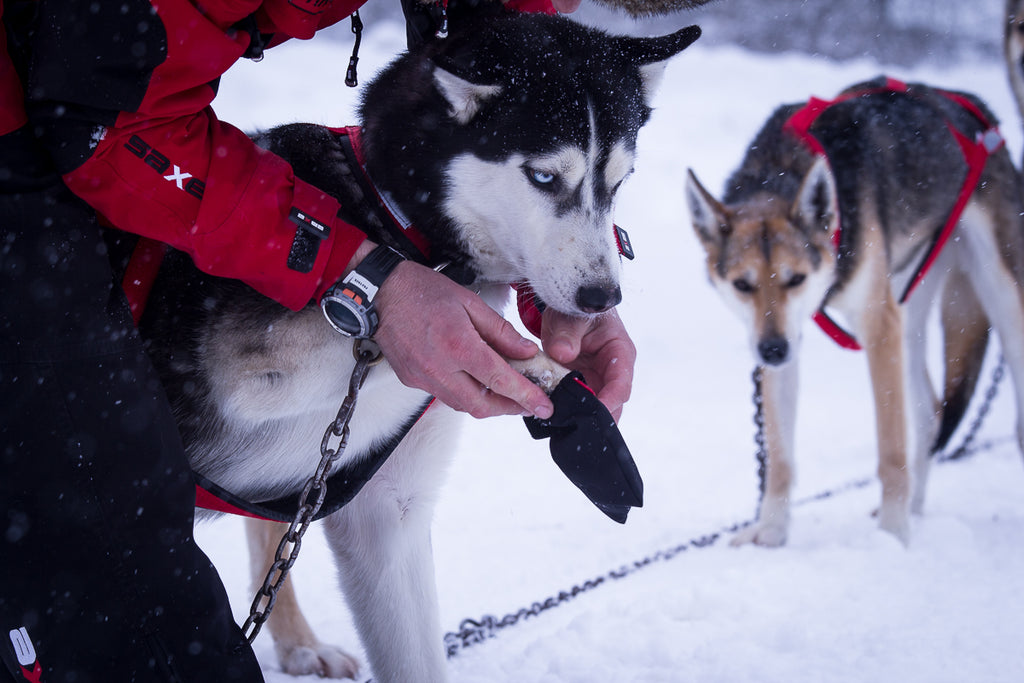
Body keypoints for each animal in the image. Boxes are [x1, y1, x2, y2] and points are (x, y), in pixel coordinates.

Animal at [684, 76, 1024, 544]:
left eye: (795, 278)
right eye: (743, 285)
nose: (771, 350)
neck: (781, 169)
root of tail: (978, 109)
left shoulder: (877, 326)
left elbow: (891, 452)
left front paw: (893, 537)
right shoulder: (791, 340)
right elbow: (780, 460)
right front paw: (771, 534)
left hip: (996, 297)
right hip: (908, 316)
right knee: (930, 413)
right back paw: (917, 509)